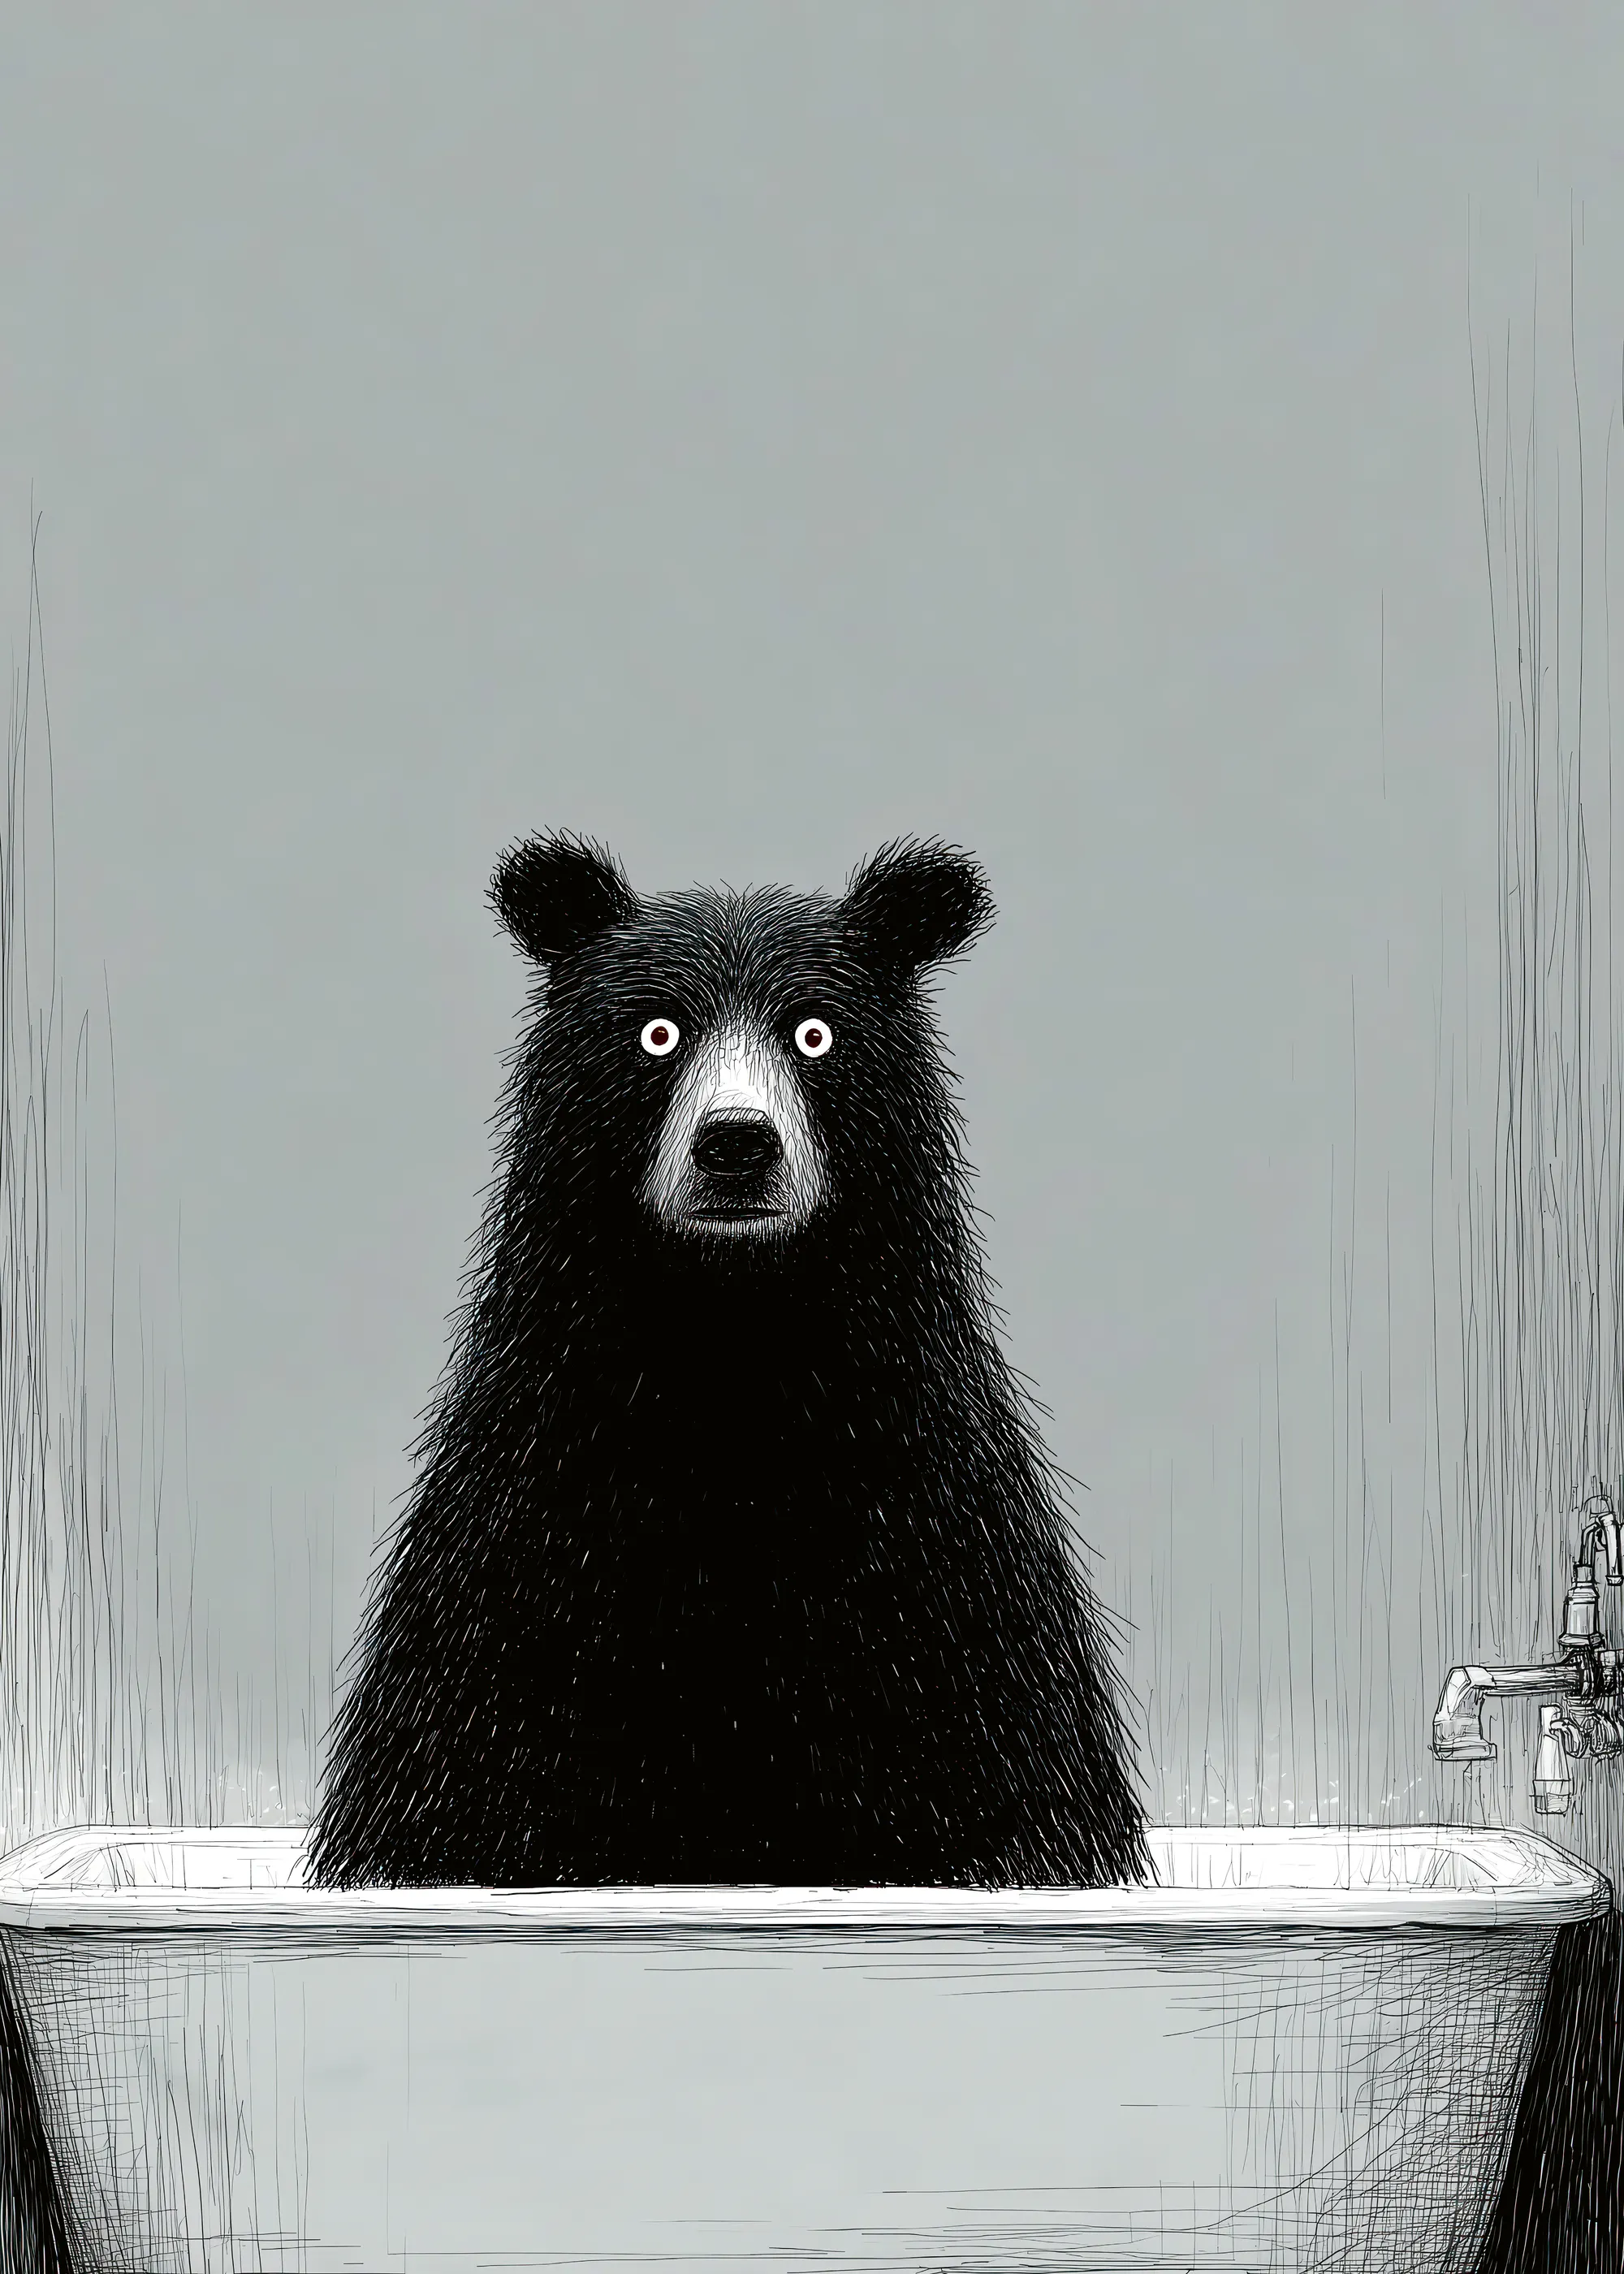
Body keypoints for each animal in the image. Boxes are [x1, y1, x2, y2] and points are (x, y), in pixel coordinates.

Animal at [307, 834, 1149, 1890]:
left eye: (815, 1035)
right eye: (656, 1034)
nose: (737, 1144)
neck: (731, 1355)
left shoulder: (937, 1564)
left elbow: (999, 1782)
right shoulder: (521, 1551)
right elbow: (461, 1783)